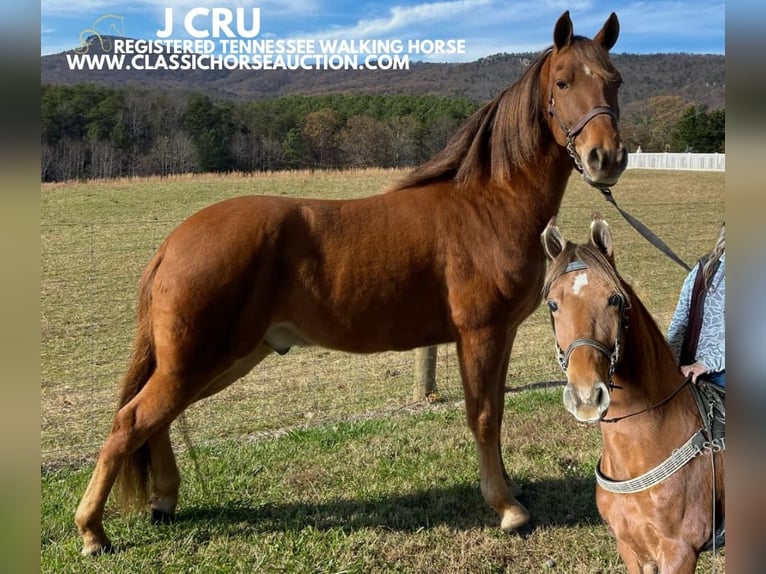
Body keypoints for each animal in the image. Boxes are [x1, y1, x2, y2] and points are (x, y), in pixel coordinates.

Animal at [76, 11, 632, 556]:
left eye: (615, 80)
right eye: (563, 81)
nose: (606, 157)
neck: (488, 203)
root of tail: (173, 242)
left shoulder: (502, 335)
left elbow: (493, 411)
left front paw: (511, 489)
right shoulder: (480, 334)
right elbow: (484, 415)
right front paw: (507, 508)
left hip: (219, 359)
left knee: (158, 420)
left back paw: (163, 502)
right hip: (198, 360)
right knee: (131, 421)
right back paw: (92, 531)